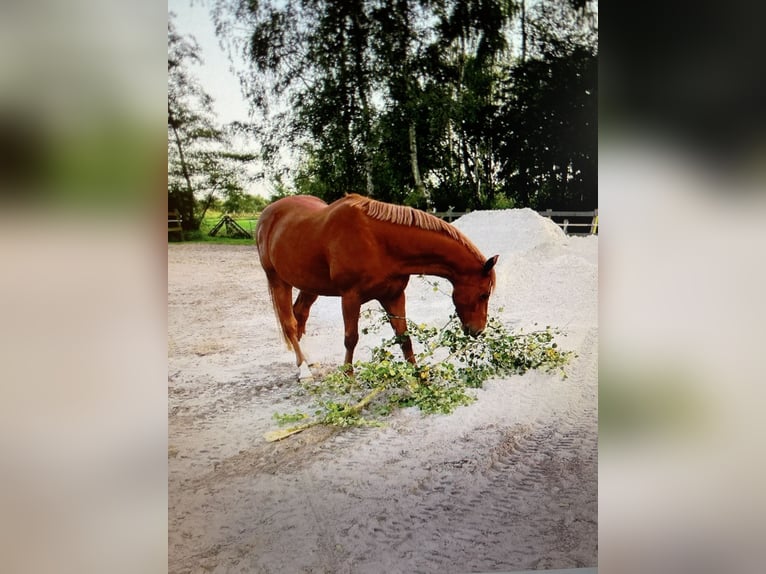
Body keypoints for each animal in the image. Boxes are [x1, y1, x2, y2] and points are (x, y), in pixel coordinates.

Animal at [256, 195, 498, 378]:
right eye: (484, 294)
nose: (478, 331)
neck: (378, 241)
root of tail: (268, 214)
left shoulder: (394, 296)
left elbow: (404, 338)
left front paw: (418, 376)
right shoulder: (350, 297)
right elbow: (351, 338)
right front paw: (348, 376)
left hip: (309, 285)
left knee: (300, 316)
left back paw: (308, 360)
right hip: (278, 281)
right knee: (289, 323)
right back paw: (304, 370)